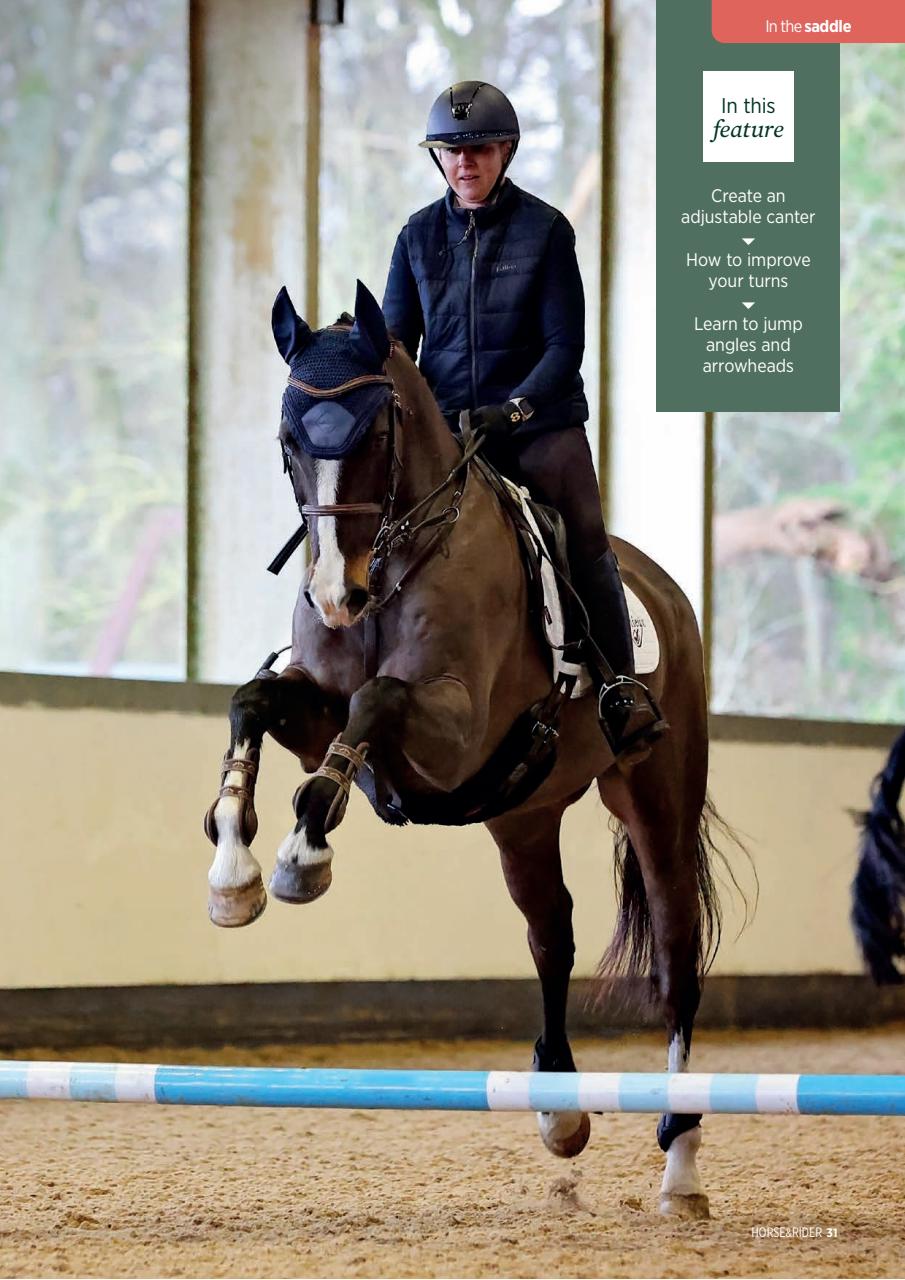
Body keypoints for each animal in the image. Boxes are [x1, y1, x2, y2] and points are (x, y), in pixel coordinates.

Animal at [204, 280, 728, 1219]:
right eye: (288, 440)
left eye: (376, 434)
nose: (335, 597)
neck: (393, 564)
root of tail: (666, 589)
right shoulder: (315, 717)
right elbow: (254, 702)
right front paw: (234, 874)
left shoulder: (445, 734)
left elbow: (373, 702)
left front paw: (303, 857)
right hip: (521, 813)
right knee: (549, 934)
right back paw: (560, 1113)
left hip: (654, 796)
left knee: (675, 962)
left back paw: (680, 1169)